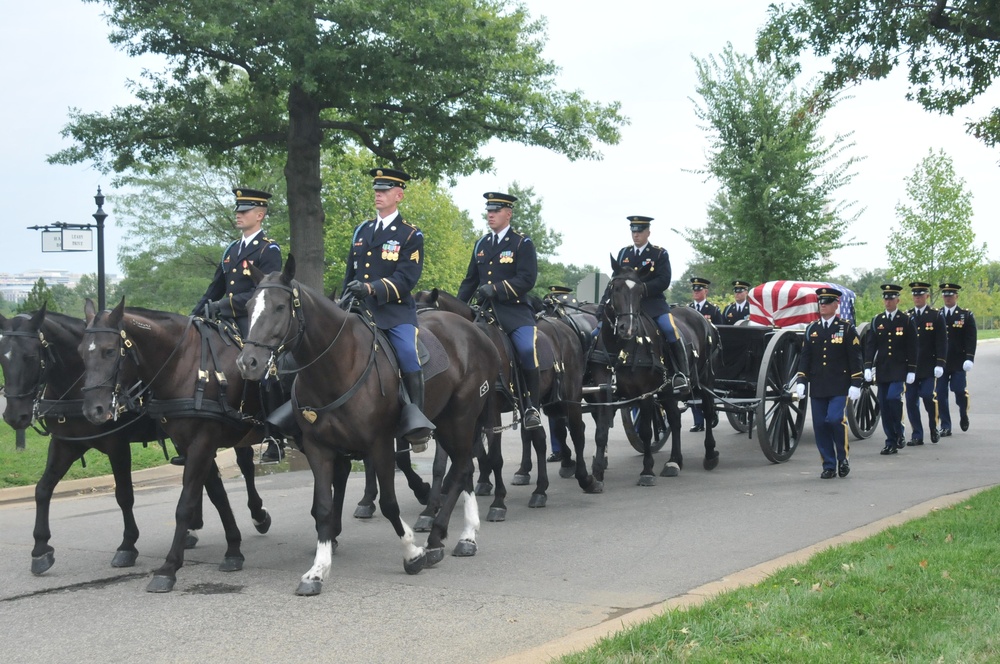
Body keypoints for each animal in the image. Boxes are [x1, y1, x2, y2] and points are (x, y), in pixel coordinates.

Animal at [79, 298, 274, 592]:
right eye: (80, 352)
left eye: (109, 351)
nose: (94, 410)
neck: (185, 365)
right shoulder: (190, 444)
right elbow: (217, 495)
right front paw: (233, 549)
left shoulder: (203, 442)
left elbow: (185, 504)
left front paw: (169, 567)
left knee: (248, 466)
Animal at [234, 255, 500, 596]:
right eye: (249, 305)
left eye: (280, 307)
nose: (248, 363)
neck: (336, 364)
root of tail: (476, 332)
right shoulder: (319, 447)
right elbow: (323, 506)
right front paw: (317, 571)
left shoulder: (380, 444)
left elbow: (389, 503)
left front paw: (412, 553)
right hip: (445, 421)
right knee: (463, 468)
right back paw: (459, 535)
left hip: (461, 416)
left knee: (463, 467)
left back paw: (443, 537)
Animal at [414, 288, 600, 516]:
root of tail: (564, 327)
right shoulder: (454, 415)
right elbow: (444, 462)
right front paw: (432, 507)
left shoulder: (490, 411)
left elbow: (494, 457)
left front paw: (498, 502)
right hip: (536, 402)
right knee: (539, 438)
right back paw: (540, 489)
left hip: (571, 395)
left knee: (576, 432)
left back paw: (586, 479)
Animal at [596, 260, 724, 488]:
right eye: (615, 288)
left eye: (640, 292)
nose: (628, 328)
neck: (619, 350)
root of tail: (706, 321)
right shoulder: (604, 394)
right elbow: (601, 431)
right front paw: (597, 472)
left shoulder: (645, 394)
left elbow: (647, 432)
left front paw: (647, 470)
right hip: (667, 391)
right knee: (675, 418)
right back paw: (674, 461)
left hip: (705, 381)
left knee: (708, 412)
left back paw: (710, 454)